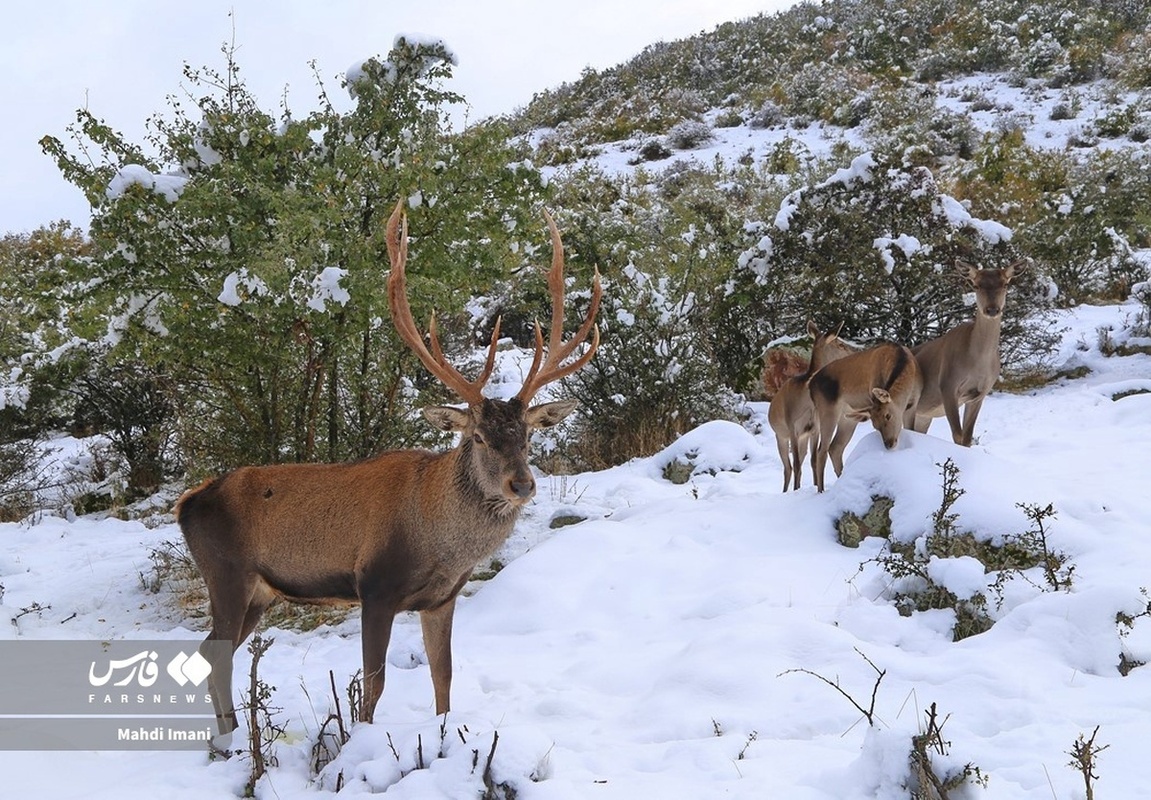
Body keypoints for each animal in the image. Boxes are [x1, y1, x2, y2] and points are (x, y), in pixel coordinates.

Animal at [177, 203, 603, 741]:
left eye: (527, 436)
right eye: (477, 438)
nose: (521, 484)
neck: (437, 543)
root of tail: (186, 503)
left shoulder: (442, 598)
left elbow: (443, 674)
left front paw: (445, 735)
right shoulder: (374, 587)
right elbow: (373, 685)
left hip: (258, 592)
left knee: (211, 651)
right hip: (226, 573)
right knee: (218, 654)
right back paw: (230, 740)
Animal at [764, 322, 856, 490]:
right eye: (840, 343)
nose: (855, 351)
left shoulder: (814, 428)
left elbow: (813, 460)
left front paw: (815, 486)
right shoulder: (792, 426)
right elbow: (796, 464)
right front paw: (796, 490)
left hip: (803, 437)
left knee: (801, 460)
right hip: (780, 435)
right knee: (788, 467)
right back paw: (787, 490)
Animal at [810, 340, 925, 490]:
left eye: (888, 415)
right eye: (875, 426)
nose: (889, 444)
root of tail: (810, 385)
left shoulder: (913, 405)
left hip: (848, 418)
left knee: (835, 447)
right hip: (827, 410)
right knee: (821, 451)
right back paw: (821, 490)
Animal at [916, 262, 1026, 451]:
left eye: (1005, 284)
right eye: (976, 285)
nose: (992, 309)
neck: (977, 364)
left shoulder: (980, 393)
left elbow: (967, 438)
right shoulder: (947, 384)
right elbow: (957, 435)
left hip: (922, 416)